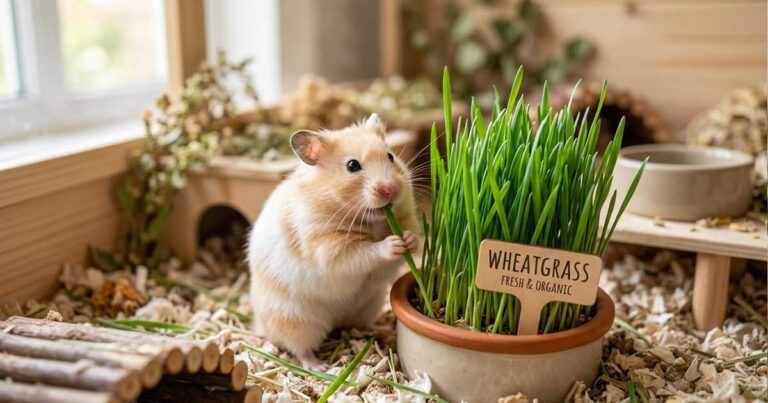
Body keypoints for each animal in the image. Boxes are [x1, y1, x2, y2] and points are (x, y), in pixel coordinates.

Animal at [247, 118, 419, 370]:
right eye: (352, 166)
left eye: (390, 156)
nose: (391, 189)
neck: (371, 222)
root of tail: (259, 325)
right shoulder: (328, 248)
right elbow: (364, 252)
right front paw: (393, 243)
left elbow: (412, 235)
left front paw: (408, 239)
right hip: (296, 319)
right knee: (300, 348)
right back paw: (319, 366)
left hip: (371, 303)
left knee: (360, 324)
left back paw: (385, 328)